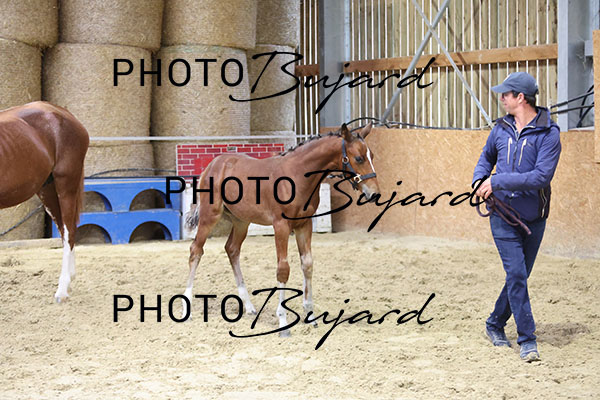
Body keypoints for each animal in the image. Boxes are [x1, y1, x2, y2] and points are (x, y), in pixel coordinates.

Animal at [0, 101, 89, 302]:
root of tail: (62, 112)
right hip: (47, 190)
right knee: (64, 229)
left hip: (66, 184)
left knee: (69, 230)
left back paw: (62, 290)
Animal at [183, 122, 380, 335]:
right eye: (358, 158)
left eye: (372, 155)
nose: (375, 193)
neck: (298, 175)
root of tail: (214, 164)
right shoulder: (281, 226)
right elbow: (283, 269)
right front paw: (283, 323)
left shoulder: (304, 224)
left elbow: (307, 264)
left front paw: (310, 316)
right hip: (210, 215)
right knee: (196, 250)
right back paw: (187, 308)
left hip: (241, 221)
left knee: (232, 249)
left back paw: (249, 306)